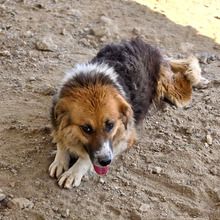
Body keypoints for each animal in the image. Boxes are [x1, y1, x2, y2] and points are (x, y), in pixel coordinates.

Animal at [48, 37, 208, 189]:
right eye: (86, 128)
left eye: (110, 125)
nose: (106, 161)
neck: (90, 81)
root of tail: (146, 45)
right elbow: (61, 140)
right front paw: (60, 159)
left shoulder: (127, 138)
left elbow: (86, 157)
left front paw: (73, 172)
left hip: (174, 92)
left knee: (184, 77)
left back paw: (197, 78)